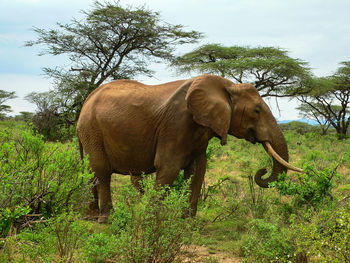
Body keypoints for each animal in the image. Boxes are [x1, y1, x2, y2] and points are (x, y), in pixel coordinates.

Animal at [76, 73, 300, 223]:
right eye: (256, 110)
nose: (262, 170)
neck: (227, 86)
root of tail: (85, 103)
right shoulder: (176, 124)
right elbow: (168, 167)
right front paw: (153, 220)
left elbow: (197, 171)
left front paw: (188, 221)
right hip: (92, 129)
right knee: (101, 170)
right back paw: (106, 218)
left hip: (90, 133)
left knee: (89, 171)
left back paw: (89, 216)